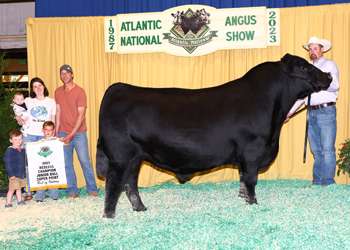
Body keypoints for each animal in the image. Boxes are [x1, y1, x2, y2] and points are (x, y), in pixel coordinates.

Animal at [97, 53, 332, 219]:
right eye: (304, 66)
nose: (328, 76)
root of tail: (118, 88)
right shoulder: (252, 151)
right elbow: (251, 180)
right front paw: (253, 204)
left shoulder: (244, 157)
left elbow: (243, 179)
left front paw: (243, 199)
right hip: (120, 157)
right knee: (113, 185)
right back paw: (109, 216)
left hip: (136, 158)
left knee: (130, 184)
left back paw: (140, 209)